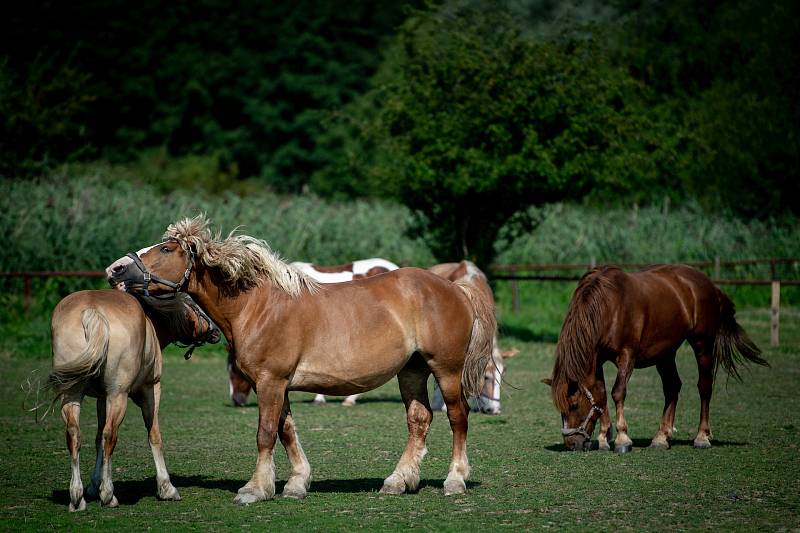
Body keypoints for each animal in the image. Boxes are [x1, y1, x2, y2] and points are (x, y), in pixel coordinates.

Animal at [49, 288, 219, 510]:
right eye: (194, 304)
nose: (216, 331)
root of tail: (92, 310)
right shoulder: (151, 390)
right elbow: (154, 436)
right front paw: (167, 488)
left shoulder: (102, 399)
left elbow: (97, 440)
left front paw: (94, 486)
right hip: (118, 396)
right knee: (110, 435)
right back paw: (108, 495)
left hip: (72, 394)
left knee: (75, 434)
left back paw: (77, 497)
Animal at [548, 264, 764, 450]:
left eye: (574, 405)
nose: (571, 444)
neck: (610, 306)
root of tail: (710, 284)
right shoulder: (597, 358)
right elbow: (601, 394)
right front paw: (603, 439)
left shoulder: (627, 355)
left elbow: (618, 392)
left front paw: (622, 439)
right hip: (665, 354)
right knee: (672, 387)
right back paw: (661, 437)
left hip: (702, 345)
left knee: (704, 386)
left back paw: (702, 436)